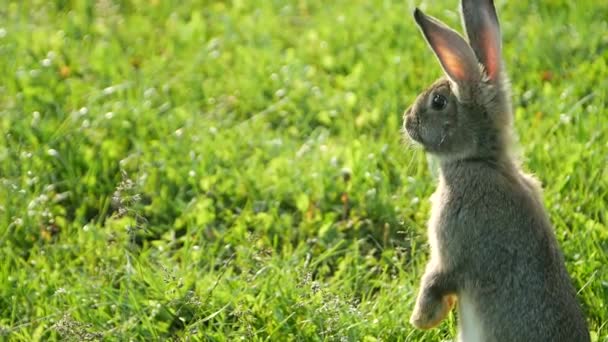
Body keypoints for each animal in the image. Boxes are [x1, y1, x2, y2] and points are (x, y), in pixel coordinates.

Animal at [402, 0, 592, 342]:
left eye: (438, 101)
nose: (406, 121)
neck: (481, 161)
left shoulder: (451, 245)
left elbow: (436, 279)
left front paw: (421, 319)